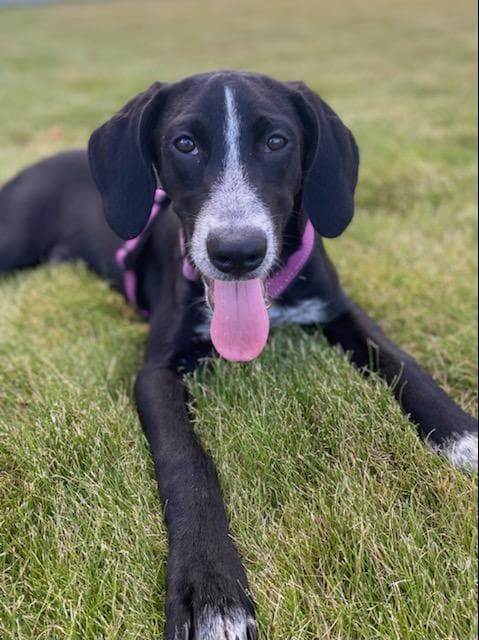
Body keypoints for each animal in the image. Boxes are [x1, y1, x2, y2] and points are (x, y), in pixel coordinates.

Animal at [0, 70, 478, 636]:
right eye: (184, 143)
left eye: (277, 141)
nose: (236, 254)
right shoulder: (156, 373)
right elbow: (187, 462)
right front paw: (210, 590)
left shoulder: (341, 310)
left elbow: (405, 363)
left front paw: (463, 437)